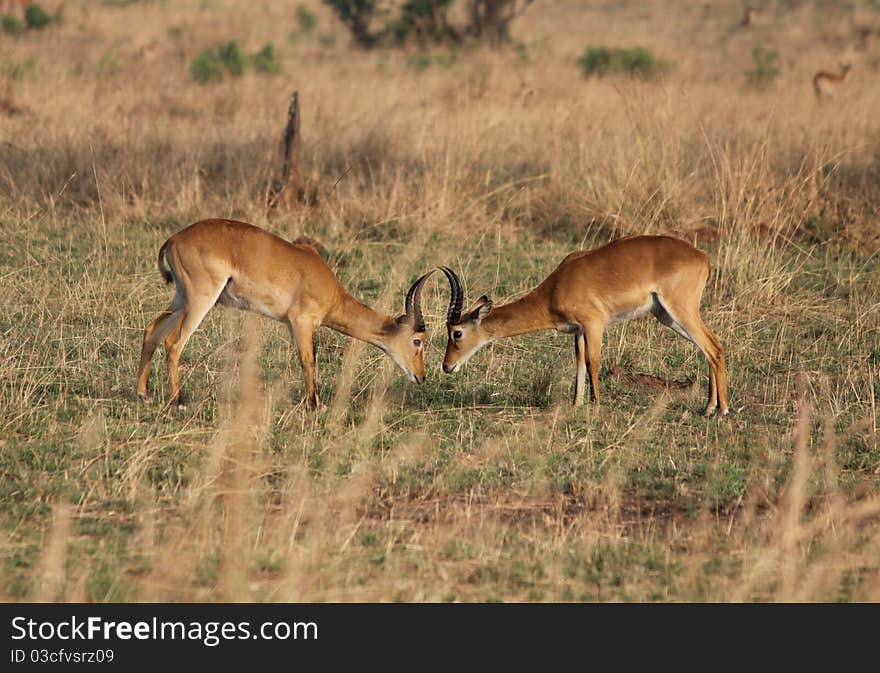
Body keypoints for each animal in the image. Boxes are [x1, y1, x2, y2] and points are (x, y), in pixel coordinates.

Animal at [137, 220, 434, 410]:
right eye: (417, 341)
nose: (421, 376)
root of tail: (174, 239)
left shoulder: (293, 325)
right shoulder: (302, 322)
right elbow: (309, 360)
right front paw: (314, 405)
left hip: (181, 299)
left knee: (151, 331)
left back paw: (143, 395)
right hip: (200, 300)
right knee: (173, 343)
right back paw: (178, 402)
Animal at [440, 235, 728, 414]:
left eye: (457, 333)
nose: (446, 366)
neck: (556, 288)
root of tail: (702, 258)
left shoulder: (594, 324)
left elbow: (593, 363)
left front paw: (597, 404)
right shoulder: (577, 331)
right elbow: (579, 363)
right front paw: (577, 405)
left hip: (680, 311)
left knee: (713, 347)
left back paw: (722, 410)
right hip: (668, 316)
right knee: (711, 346)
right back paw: (708, 407)